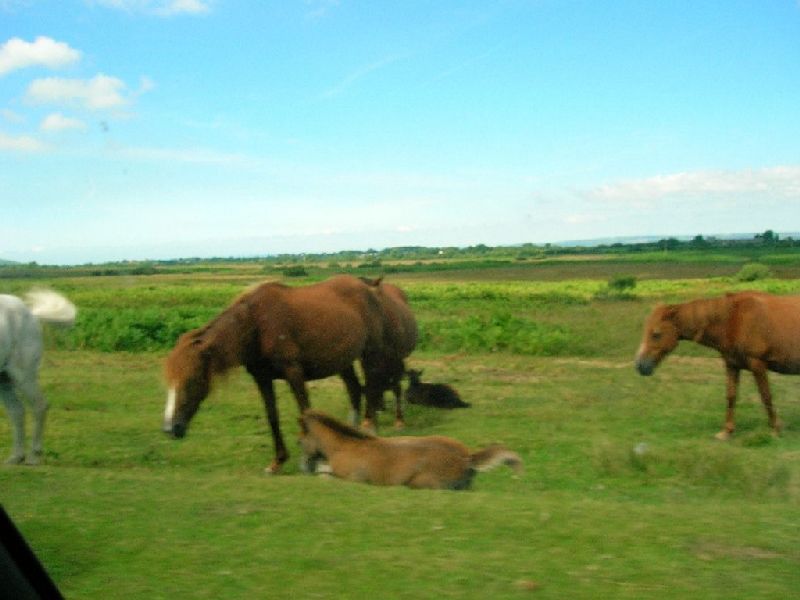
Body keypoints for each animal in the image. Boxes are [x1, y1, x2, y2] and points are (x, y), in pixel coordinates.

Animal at [1, 290, 76, 464]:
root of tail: (32, 315)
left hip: (24, 376)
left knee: (39, 406)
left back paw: (33, 456)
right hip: (4, 380)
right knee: (17, 412)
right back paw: (16, 457)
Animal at [163, 276, 396, 474]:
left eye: (192, 380)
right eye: (169, 382)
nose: (170, 428)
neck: (256, 325)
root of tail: (368, 286)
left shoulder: (294, 372)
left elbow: (306, 413)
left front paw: (310, 461)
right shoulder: (262, 379)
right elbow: (272, 416)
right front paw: (278, 461)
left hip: (370, 352)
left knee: (371, 385)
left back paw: (369, 428)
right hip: (343, 360)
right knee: (355, 388)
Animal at [296, 410, 520, 490]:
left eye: (299, 441)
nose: (303, 467)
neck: (343, 446)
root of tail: (467, 458)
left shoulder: (356, 479)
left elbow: (326, 477)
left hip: (421, 483)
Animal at [636, 292, 800, 438]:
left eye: (656, 334)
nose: (640, 366)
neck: (733, 318)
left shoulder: (757, 364)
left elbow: (766, 396)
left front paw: (775, 429)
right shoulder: (732, 365)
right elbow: (731, 396)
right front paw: (727, 431)